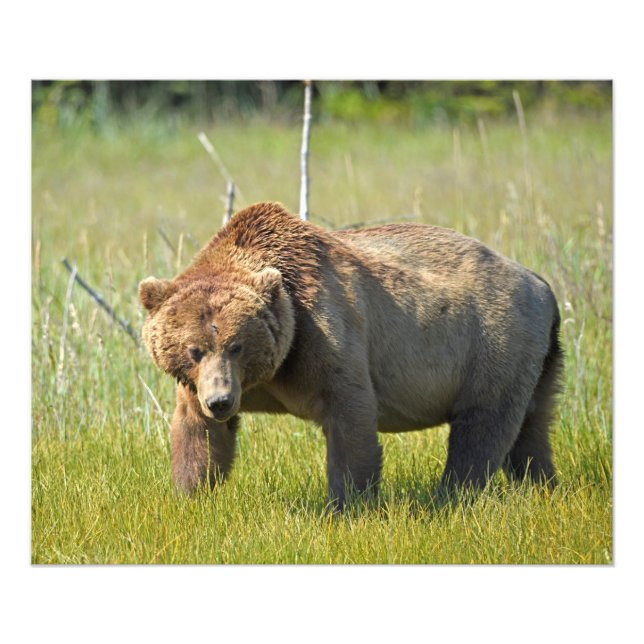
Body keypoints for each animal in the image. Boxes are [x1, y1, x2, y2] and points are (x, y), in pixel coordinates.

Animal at [139, 201, 563, 507]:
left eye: (237, 345)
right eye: (194, 350)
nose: (222, 401)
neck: (272, 372)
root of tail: (540, 284)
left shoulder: (324, 333)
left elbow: (350, 416)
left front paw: (348, 503)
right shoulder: (200, 386)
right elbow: (198, 435)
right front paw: (190, 495)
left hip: (491, 341)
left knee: (482, 427)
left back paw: (453, 494)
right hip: (539, 360)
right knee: (532, 428)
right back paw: (543, 485)